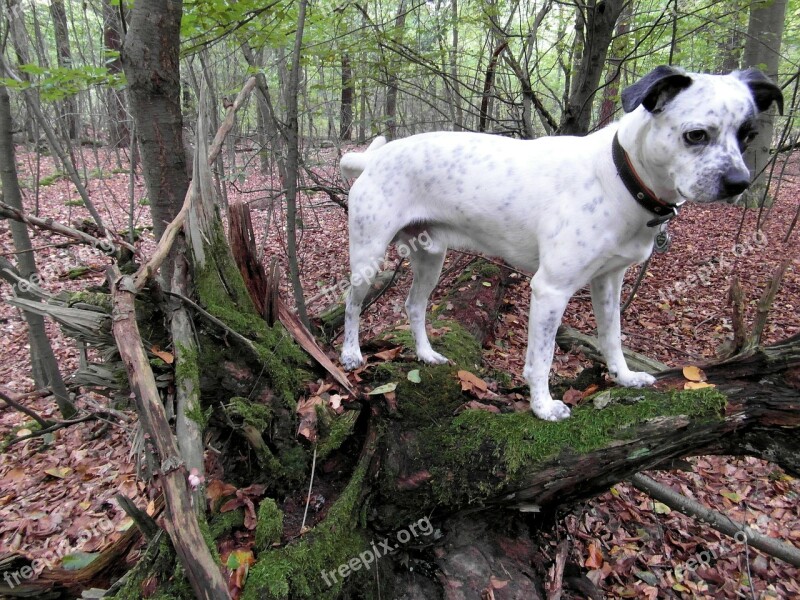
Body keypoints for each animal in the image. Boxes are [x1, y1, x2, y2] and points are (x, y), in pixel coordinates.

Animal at [336, 67, 780, 422]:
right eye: (695, 135)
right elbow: (542, 357)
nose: (739, 183)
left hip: (431, 257)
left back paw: (426, 354)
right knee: (352, 304)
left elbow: (612, 335)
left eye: (747, 135)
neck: (619, 176)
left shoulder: (609, 281)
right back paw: (350, 354)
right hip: (368, 257)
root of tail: (373, 159)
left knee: (413, 305)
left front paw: (623, 376)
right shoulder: (550, 290)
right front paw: (542, 406)